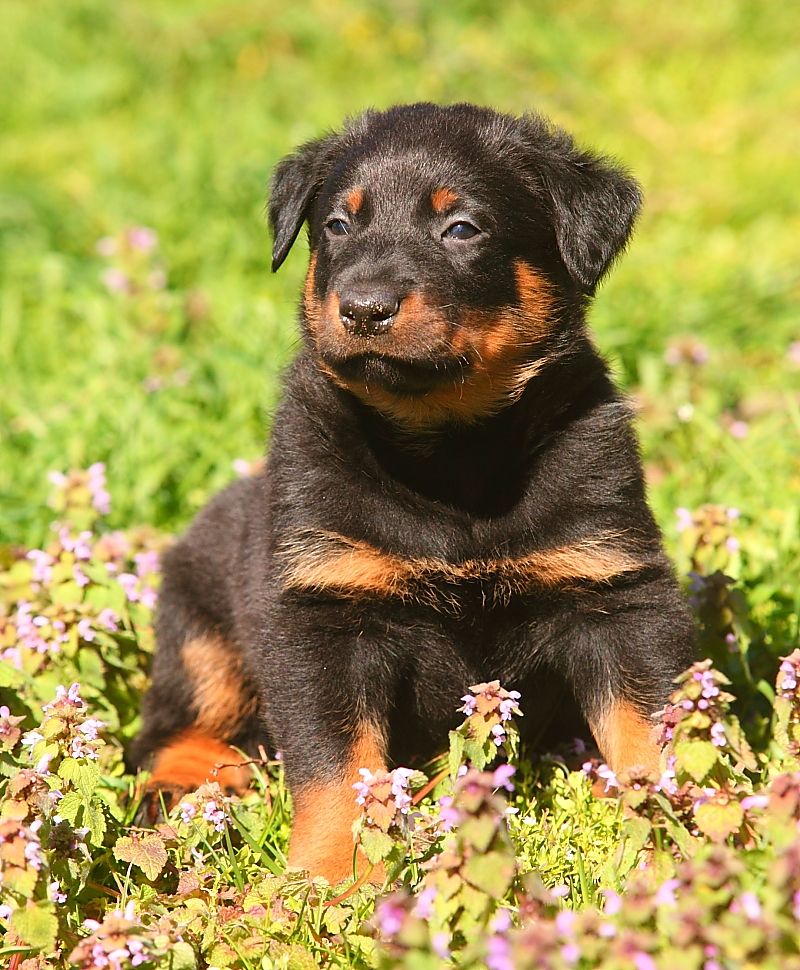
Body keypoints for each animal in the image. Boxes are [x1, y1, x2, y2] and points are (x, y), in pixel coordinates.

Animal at [131, 104, 692, 876]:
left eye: (461, 228)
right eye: (339, 224)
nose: (364, 309)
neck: (447, 451)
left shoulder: (614, 590)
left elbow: (646, 730)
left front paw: (672, 839)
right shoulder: (324, 614)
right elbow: (336, 766)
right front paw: (329, 876)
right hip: (200, 630)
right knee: (169, 729)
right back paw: (186, 793)